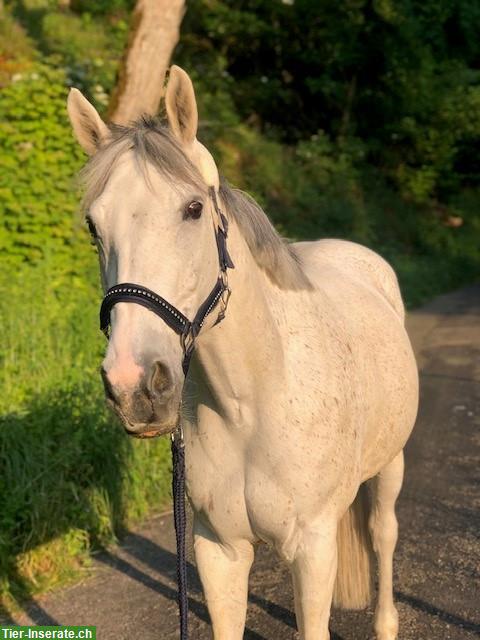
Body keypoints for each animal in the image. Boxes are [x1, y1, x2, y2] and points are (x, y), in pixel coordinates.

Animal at [68, 66, 420, 640]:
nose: (135, 387)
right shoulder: (219, 550)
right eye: (94, 226)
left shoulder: (313, 551)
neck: (253, 402)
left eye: (192, 209)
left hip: (391, 464)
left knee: (383, 532)